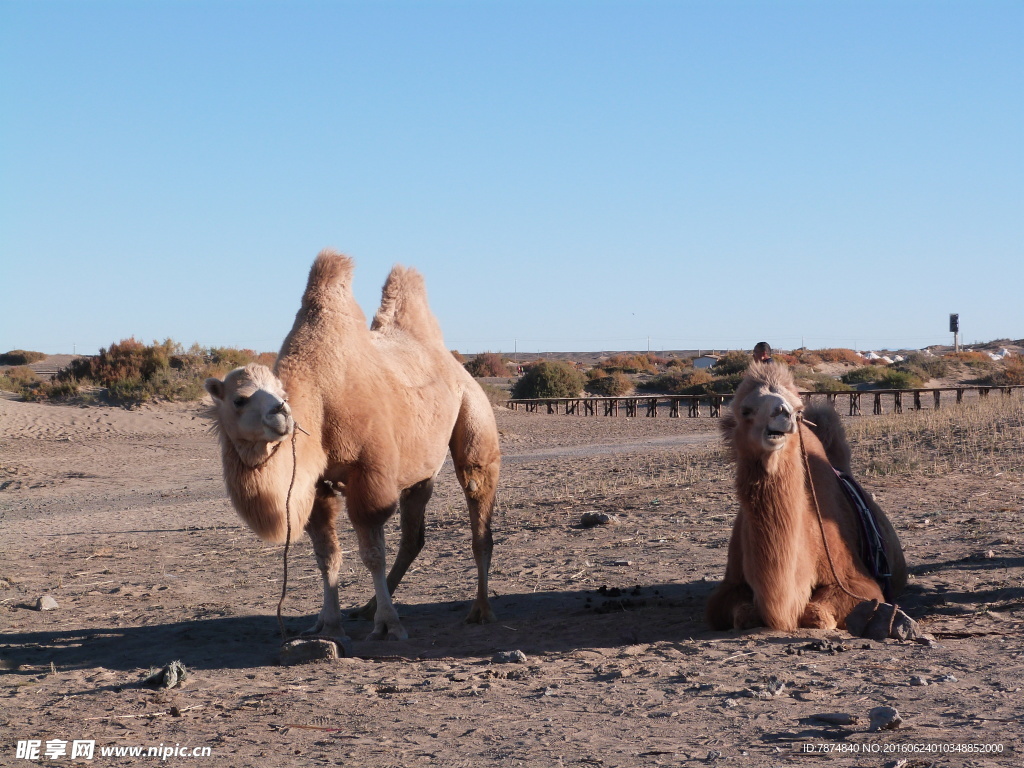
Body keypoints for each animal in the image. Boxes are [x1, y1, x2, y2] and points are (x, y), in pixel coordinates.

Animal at [202, 252, 499, 643]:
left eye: (282, 395)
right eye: (239, 399)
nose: (282, 415)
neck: (319, 399)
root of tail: (454, 364)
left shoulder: (368, 474)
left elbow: (372, 552)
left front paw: (388, 625)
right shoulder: (315, 486)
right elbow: (326, 555)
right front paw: (329, 623)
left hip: (474, 411)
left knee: (478, 500)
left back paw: (480, 609)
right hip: (420, 470)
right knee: (413, 534)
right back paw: (369, 606)